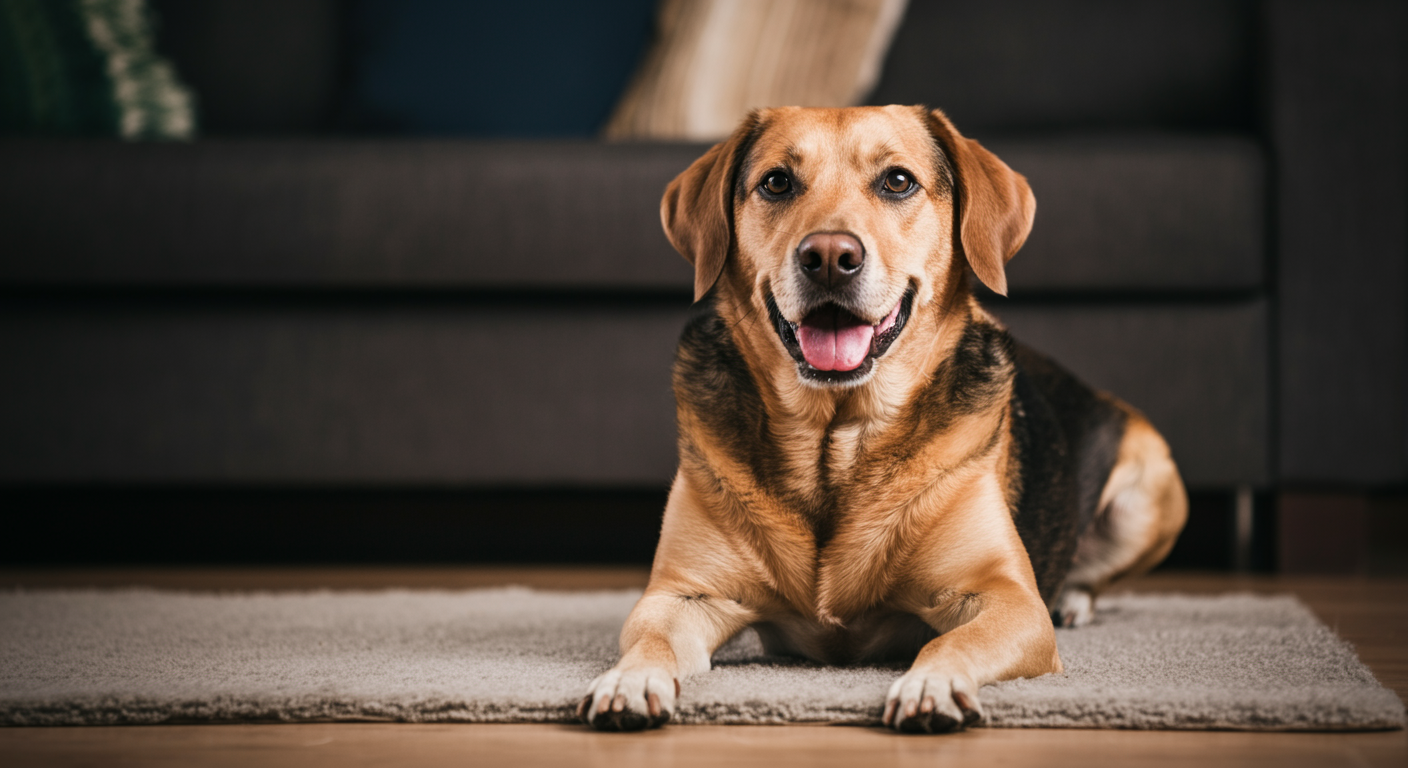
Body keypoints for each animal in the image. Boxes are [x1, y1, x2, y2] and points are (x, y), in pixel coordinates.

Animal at [577, 106, 1182, 732]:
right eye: (777, 182)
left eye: (897, 181)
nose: (828, 257)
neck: (835, 442)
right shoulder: (678, 596)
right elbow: (652, 641)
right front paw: (628, 680)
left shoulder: (1008, 600)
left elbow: (950, 641)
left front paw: (931, 684)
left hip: (1150, 492)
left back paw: (1072, 599)